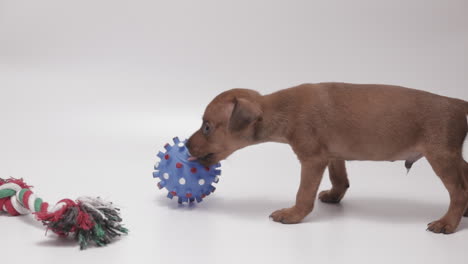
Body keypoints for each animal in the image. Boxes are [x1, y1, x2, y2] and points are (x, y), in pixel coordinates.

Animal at [186, 82, 468, 233]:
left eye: (207, 127)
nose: (187, 144)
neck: (279, 109)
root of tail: (456, 103)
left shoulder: (311, 160)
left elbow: (303, 193)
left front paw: (293, 214)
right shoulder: (332, 154)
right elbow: (339, 179)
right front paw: (334, 196)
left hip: (441, 156)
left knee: (459, 191)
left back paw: (448, 222)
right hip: (451, 156)